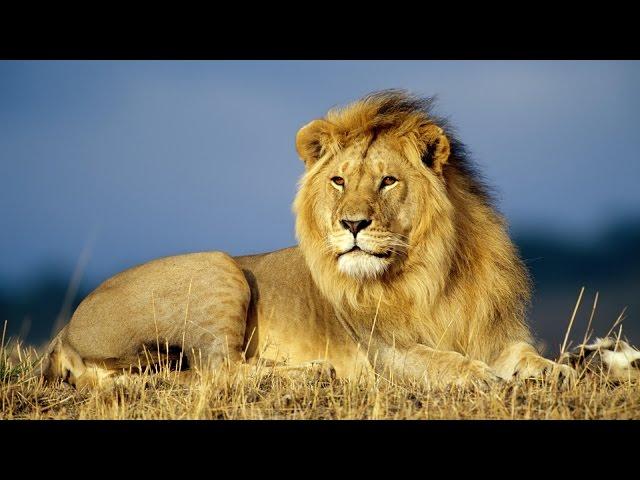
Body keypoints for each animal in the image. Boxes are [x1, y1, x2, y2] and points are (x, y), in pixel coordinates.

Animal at [41, 90, 576, 390]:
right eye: (338, 181)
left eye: (387, 181)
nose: (352, 224)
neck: (431, 272)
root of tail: (64, 332)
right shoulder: (383, 352)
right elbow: (438, 360)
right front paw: (478, 375)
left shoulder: (490, 332)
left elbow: (523, 354)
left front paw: (558, 370)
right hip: (219, 267)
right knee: (217, 371)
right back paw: (312, 373)